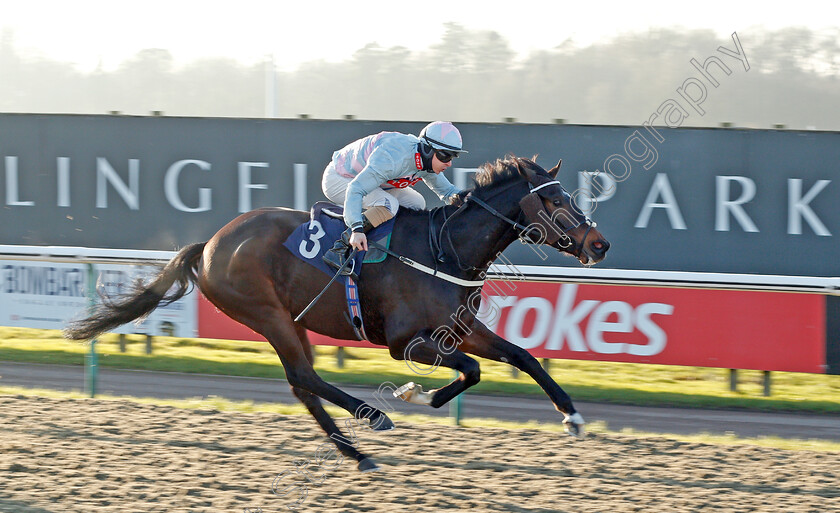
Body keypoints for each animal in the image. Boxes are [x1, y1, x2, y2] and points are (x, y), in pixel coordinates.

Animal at [62, 155, 608, 472]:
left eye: (571, 195)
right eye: (554, 199)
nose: (599, 244)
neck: (445, 248)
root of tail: (210, 244)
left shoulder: (461, 328)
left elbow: (523, 358)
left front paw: (573, 417)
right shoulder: (405, 341)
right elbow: (472, 370)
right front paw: (414, 394)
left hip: (292, 319)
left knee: (302, 384)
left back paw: (355, 451)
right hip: (267, 314)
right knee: (304, 376)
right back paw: (372, 421)